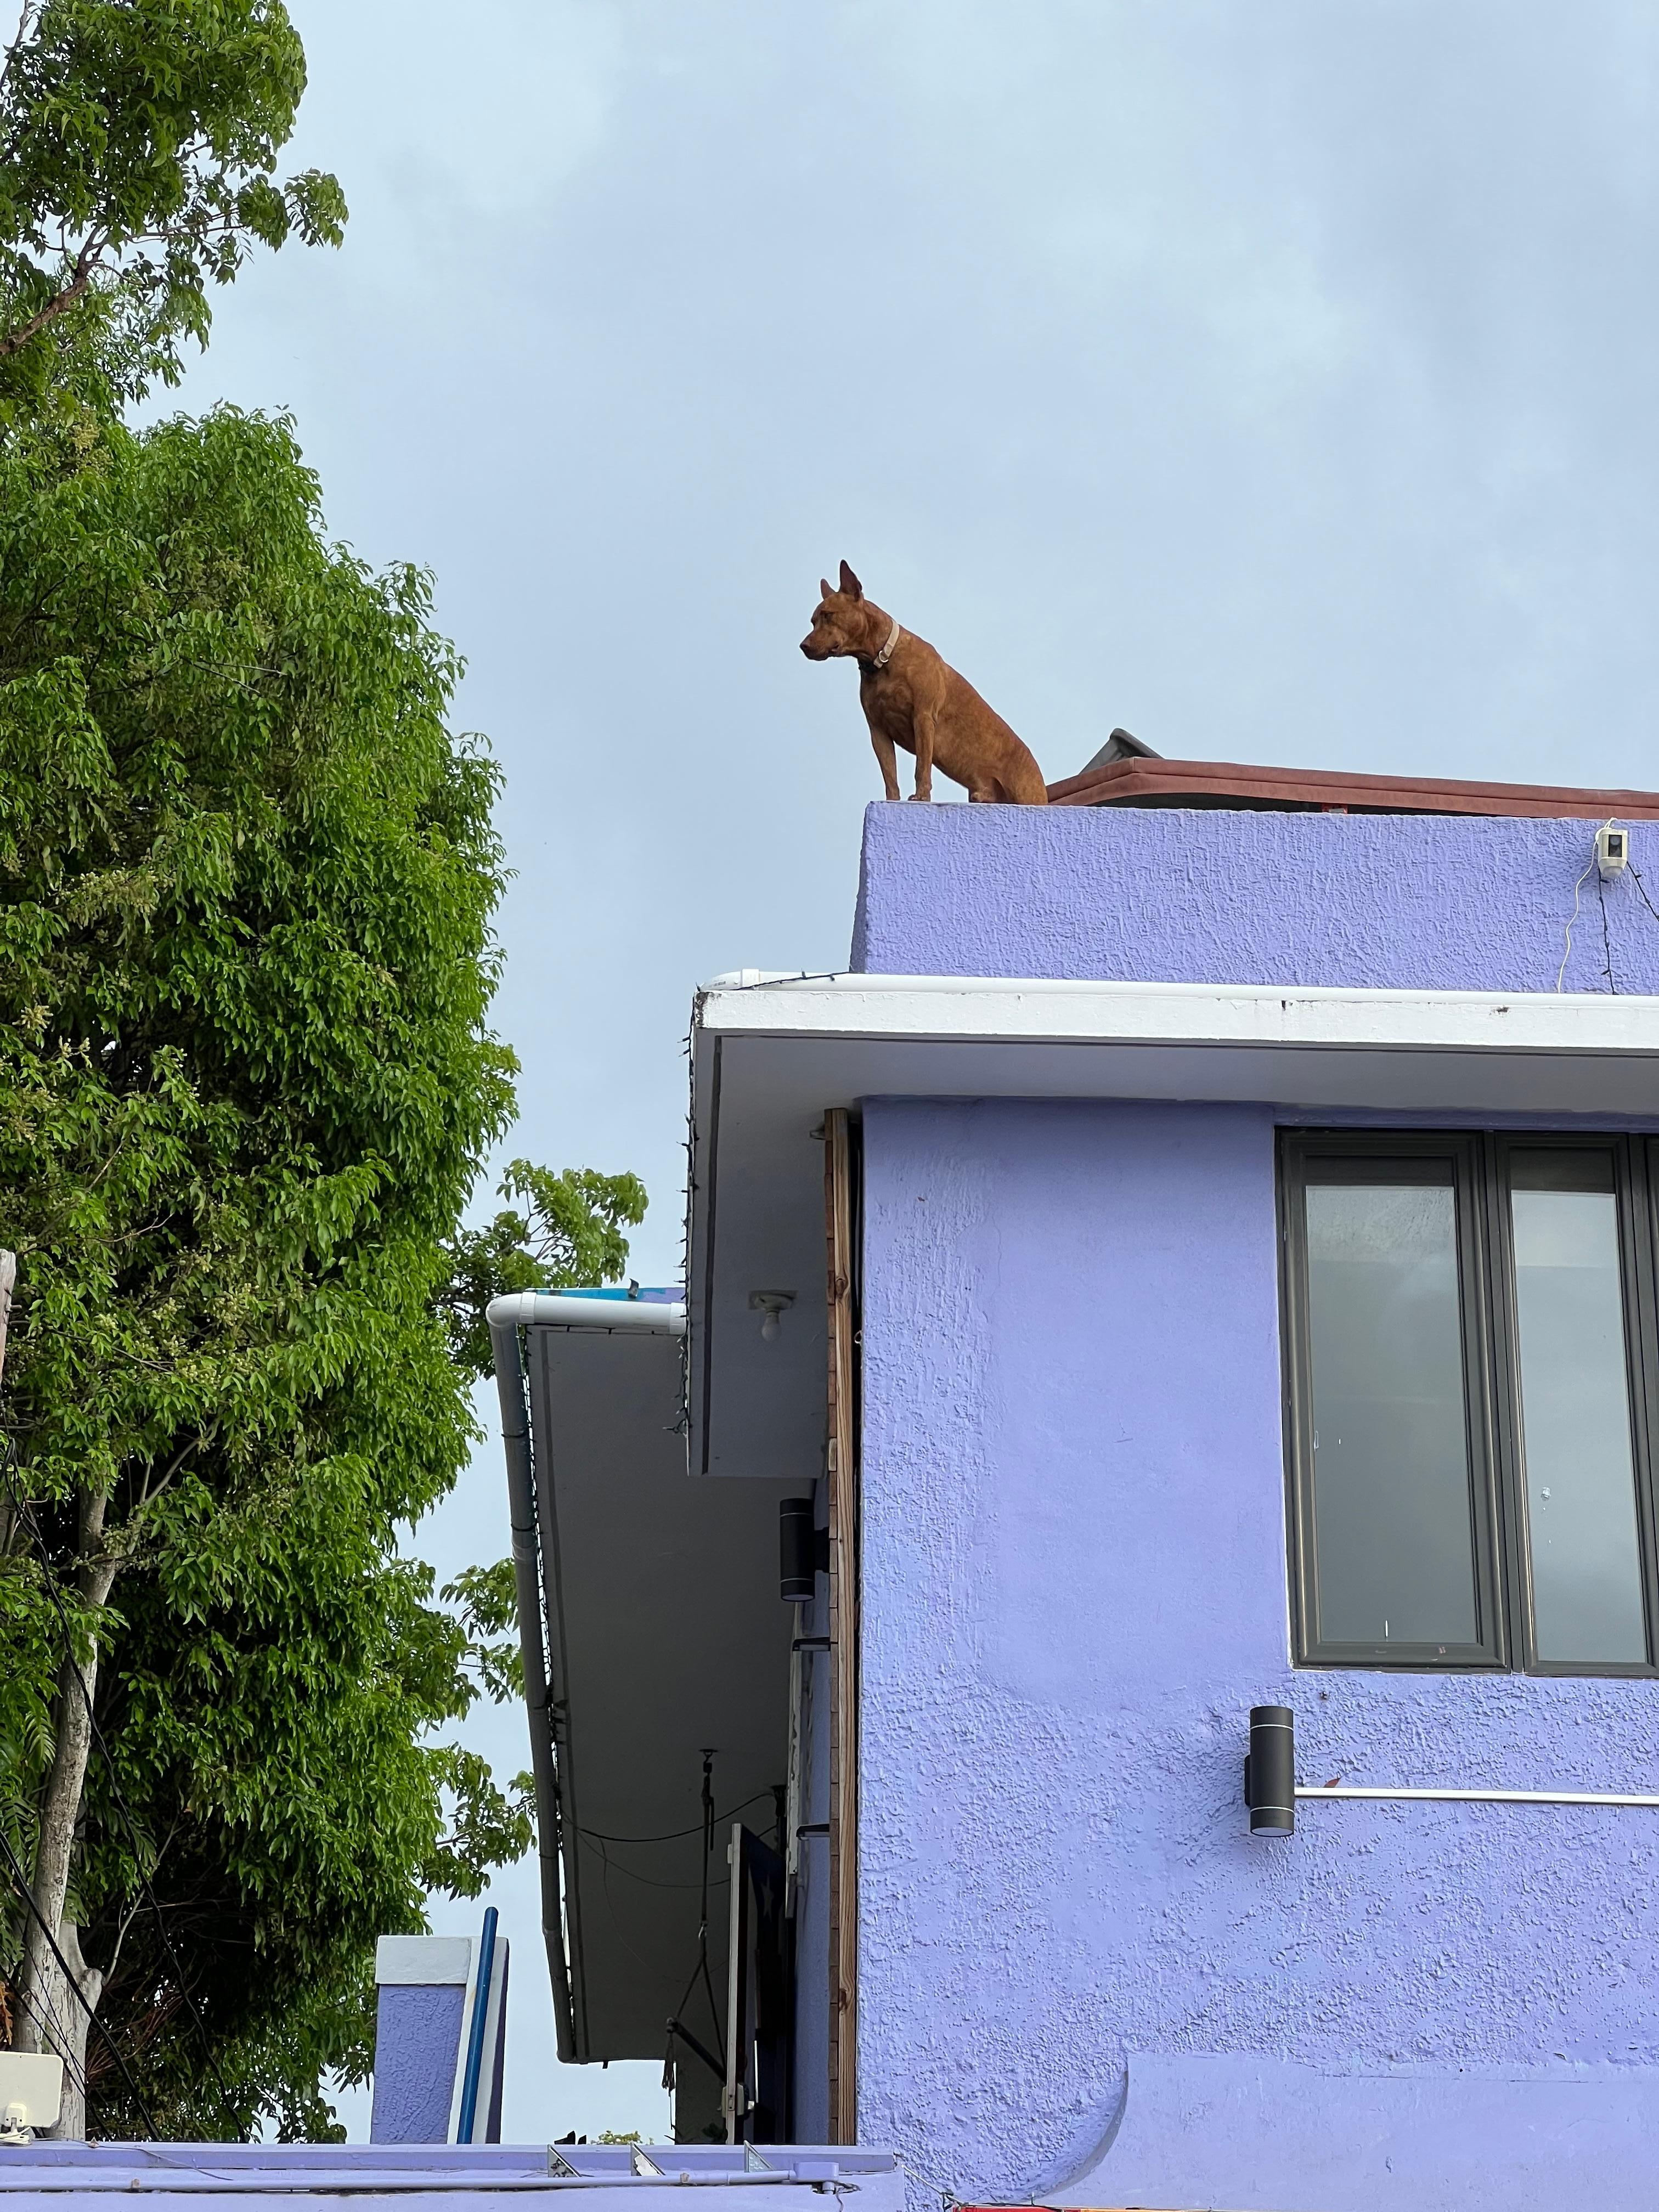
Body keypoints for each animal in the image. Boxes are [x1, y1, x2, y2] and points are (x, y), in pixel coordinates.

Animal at [800, 562, 1044, 805]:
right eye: (813, 621)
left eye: (828, 615)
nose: (804, 646)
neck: (883, 660)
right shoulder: (878, 730)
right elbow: (890, 776)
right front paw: (892, 800)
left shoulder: (923, 717)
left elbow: (922, 767)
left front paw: (921, 796)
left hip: (1026, 794)